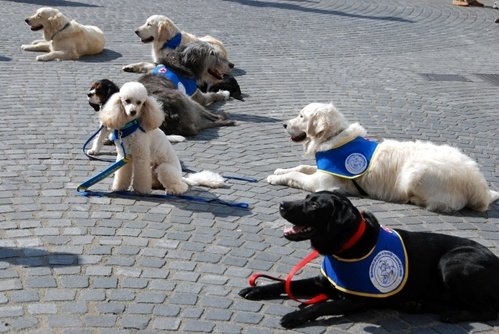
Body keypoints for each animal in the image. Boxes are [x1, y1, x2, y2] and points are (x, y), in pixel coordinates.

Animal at [239, 192, 499, 328]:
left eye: (314, 204)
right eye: (306, 197)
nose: (282, 204)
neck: (345, 248)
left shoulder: (356, 299)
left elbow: (322, 305)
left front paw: (295, 316)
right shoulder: (323, 282)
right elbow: (286, 283)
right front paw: (256, 289)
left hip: (452, 262)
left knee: (488, 309)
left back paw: (455, 315)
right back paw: (418, 304)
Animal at [270, 102, 499, 211]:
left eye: (301, 116)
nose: (284, 124)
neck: (334, 137)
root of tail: (479, 184)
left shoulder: (324, 183)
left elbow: (297, 176)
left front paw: (274, 177)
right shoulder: (321, 169)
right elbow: (300, 168)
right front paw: (279, 169)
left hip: (416, 172)